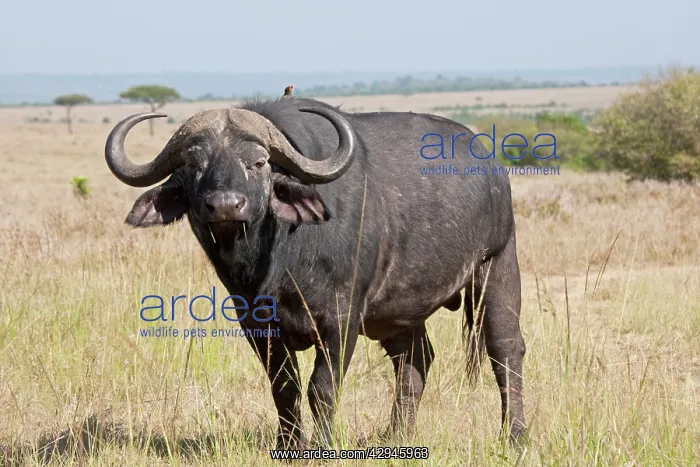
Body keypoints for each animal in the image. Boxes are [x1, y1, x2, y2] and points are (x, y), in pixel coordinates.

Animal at [104, 97, 527, 449]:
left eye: (258, 163)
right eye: (194, 165)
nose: (225, 205)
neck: (281, 260)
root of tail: (491, 166)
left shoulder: (341, 319)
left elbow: (322, 387)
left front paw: (322, 446)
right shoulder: (257, 325)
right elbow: (284, 387)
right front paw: (289, 445)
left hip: (497, 266)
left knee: (506, 351)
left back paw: (514, 435)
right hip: (400, 312)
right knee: (415, 361)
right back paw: (397, 434)